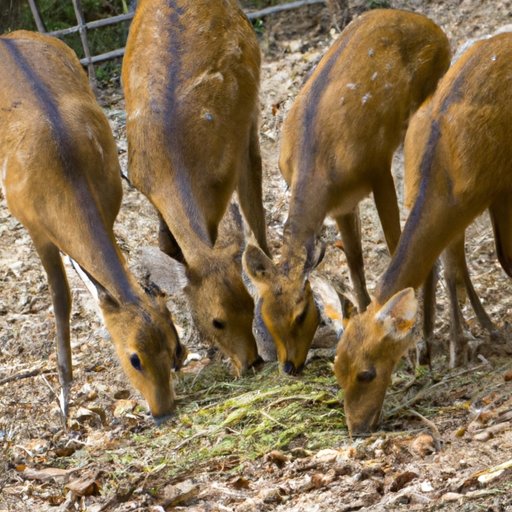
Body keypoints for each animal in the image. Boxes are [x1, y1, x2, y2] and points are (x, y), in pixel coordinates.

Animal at [0, 30, 186, 424]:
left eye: (172, 344)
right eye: (135, 358)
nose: (163, 411)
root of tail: (10, 35)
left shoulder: (111, 200)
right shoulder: (33, 225)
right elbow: (61, 297)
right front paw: (64, 399)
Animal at [122, 0, 269, 376]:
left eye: (250, 305)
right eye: (218, 321)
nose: (252, 362)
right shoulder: (143, 183)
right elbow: (167, 247)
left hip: (249, 115)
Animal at [243, 9, 451, 375]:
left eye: (301, 314)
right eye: (266, 316)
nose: (288, 366)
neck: (319, 169)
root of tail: (434, 28)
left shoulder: (378, 168)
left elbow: (395, 243)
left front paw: (411, 347)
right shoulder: (342, 204)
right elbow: (355, 262)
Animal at [335, 32, 512, 435]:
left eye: (367, 374)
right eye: (336, 371)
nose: (357, 428)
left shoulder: (501, 189)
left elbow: (503, 257)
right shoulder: (459, 211)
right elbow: (452, 268)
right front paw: (452, 347)